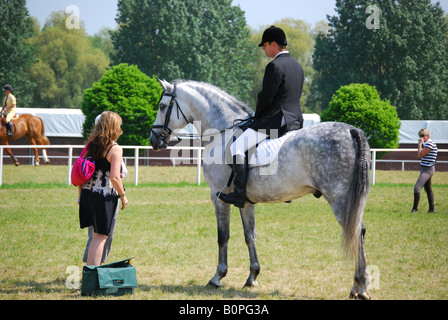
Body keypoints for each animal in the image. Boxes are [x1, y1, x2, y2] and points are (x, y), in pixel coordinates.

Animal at [150, 80, 372, 300]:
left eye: (162, 106)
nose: (153, 139)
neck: (223, 132)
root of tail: (351, 130)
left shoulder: (218, 197)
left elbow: (223, 236)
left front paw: (217, 277)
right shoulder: (245, 201)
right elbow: (250, 235)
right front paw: (252, 277)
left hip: (339, 198)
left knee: (355, 230)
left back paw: (361, 287)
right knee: (358, 231)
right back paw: (358, 286)